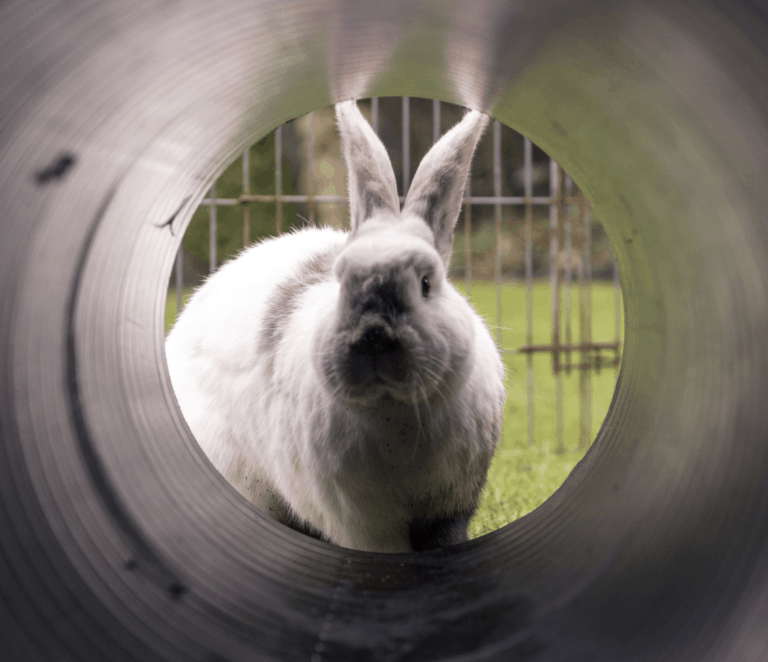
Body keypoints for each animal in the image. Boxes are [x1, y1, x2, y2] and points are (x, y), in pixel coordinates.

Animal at [165, 100, 508, 556]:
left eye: (426, 283)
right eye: (341, 280)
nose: (374, 338)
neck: (394, 409)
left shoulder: (451, 506)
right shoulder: (362, 520)